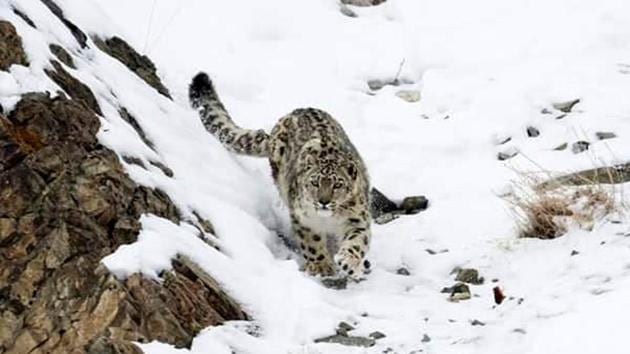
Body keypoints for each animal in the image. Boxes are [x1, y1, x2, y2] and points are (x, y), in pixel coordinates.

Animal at [190, 73, 372, 280]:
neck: (328, 220)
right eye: (315, 182)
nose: (323, 201)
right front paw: (321, 266)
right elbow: (312, 242)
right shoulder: (302, 218)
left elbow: (356, 242)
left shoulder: (357, 219)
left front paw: (349, 263)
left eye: (338, 185)